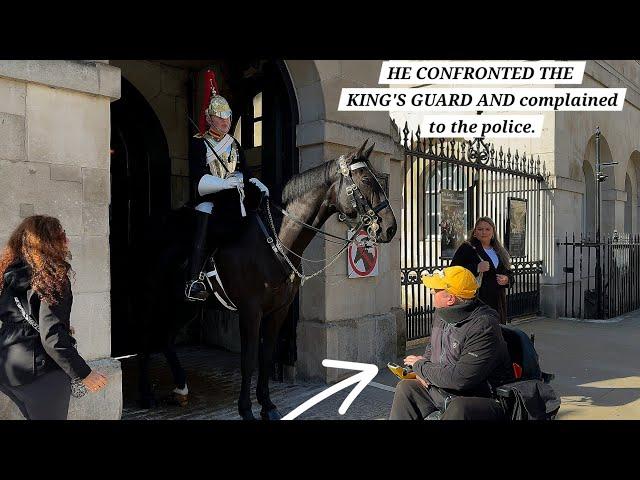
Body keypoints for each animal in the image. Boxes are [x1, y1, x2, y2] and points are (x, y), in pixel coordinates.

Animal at [138, 139, 398, 420]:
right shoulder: (250, 311)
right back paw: (146, 395)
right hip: (156, 299)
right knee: (146, 336)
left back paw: (181, 389)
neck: (276, 242)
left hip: (186, 306)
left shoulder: (278, 310)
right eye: (366, 180)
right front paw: (246, 409)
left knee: (166, 339)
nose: (390, 228)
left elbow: (266, 355)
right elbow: (249, 359)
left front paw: (268, 405)